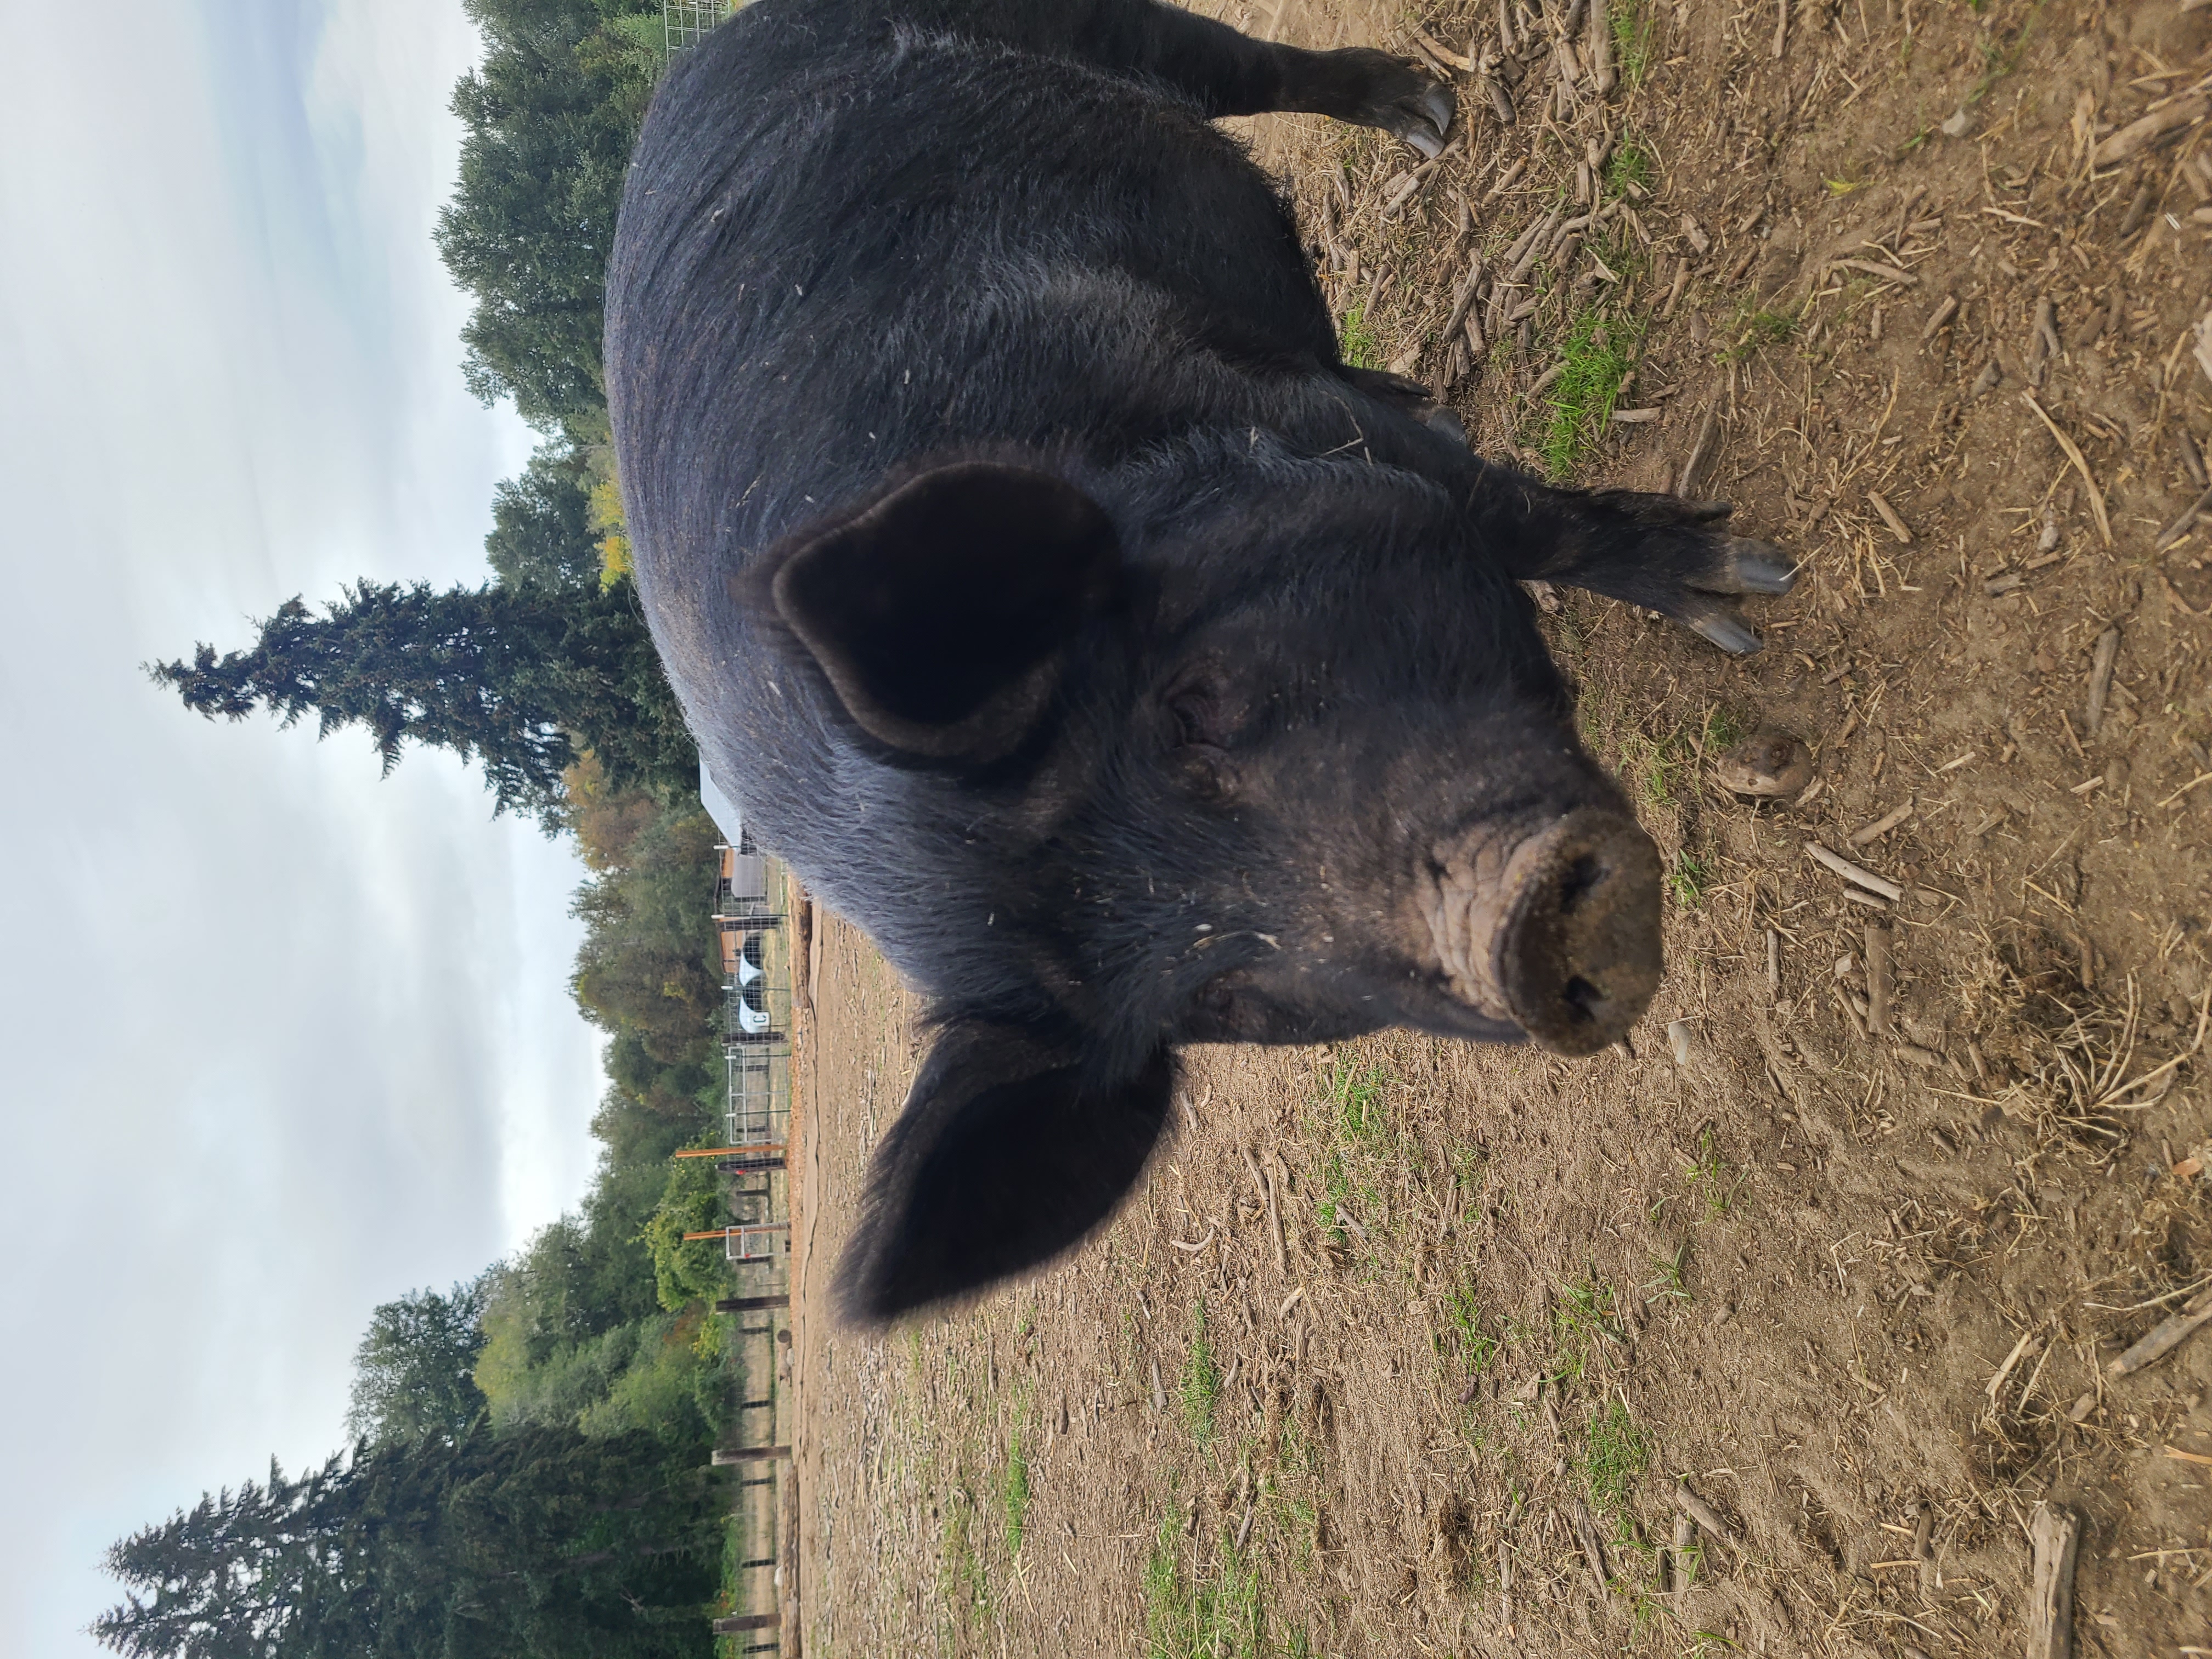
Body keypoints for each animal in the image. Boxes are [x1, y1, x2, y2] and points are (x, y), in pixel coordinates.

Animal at [604, 0, 1793, 1323]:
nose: (1509, 930)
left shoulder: (1285, 422)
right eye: (1218, 996)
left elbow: (1523, 519)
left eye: (1193, 708)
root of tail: (698, 58)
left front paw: (1747, 590)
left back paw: (1425, 119)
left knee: (1243, 68)